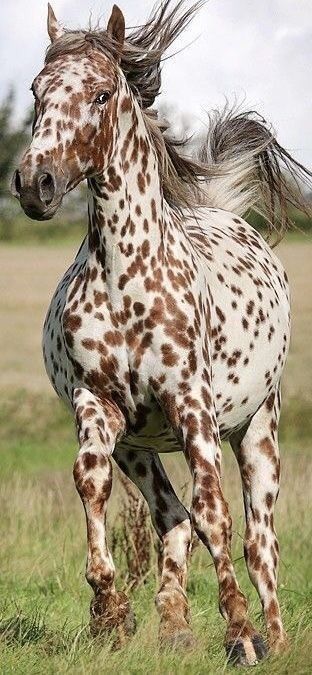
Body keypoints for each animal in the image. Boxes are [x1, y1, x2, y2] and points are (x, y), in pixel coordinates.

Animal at [11, 0, 312, 664]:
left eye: (100, 94)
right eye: (37, 92)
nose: (35, 184)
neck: (127, 280)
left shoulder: (193, 408)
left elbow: (215, 515)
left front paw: (240, 633)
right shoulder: (98, 407)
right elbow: (91, 483)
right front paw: (108, 614)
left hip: (259, 427)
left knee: (259, 540)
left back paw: (273, 636)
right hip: (140, 445)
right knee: (171, 518)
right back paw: (174, 628)